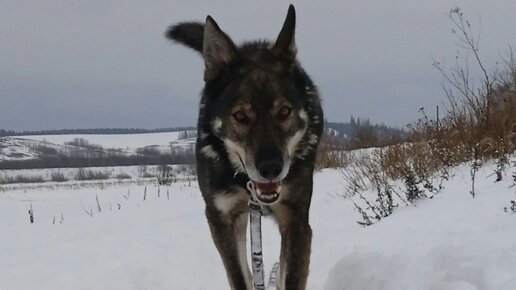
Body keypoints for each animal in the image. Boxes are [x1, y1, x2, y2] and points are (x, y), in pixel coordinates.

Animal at [166, 5, 322, 290]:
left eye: (284, 111)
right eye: (240, 116)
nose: (271, 168)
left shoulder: (296, 219)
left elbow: (290, 273)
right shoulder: (222, 217)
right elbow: (239, 275)